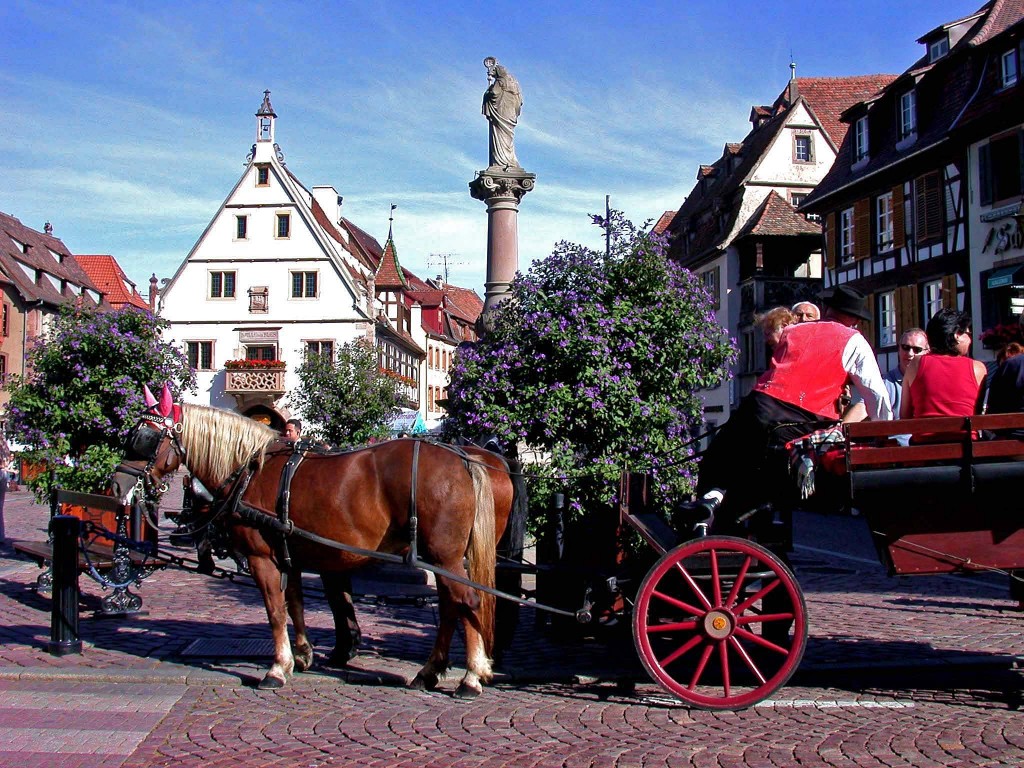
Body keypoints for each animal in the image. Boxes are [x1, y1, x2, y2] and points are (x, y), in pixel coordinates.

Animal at [111, 403, 507, 696]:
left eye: (144, 437)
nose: (116, 484)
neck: (250, 468)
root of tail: (463, 459)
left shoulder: (262, 558)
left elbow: (274, 610)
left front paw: (276, 668)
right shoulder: (291, 555)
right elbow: (296, 606)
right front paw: (301, 656)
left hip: (445, 558)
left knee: (469, 603)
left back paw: (471, 677)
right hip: (440, 558)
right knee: (453, 607)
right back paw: (430, 672)